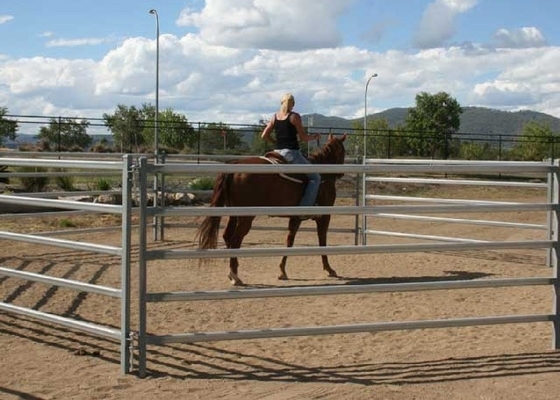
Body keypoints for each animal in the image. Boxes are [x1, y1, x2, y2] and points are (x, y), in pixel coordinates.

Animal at [197, 134, 346, 284]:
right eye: (343, 151)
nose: (341, 174)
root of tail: (235, 164)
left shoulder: (296, 217)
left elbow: (289, 240)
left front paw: (282, 271)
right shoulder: (324, 216)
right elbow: (322, 240)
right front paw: (329, 269)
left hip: (234, 215)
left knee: (227, 236)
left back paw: (232, 272)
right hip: (246, 217)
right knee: (235, 240)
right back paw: (235, 276)